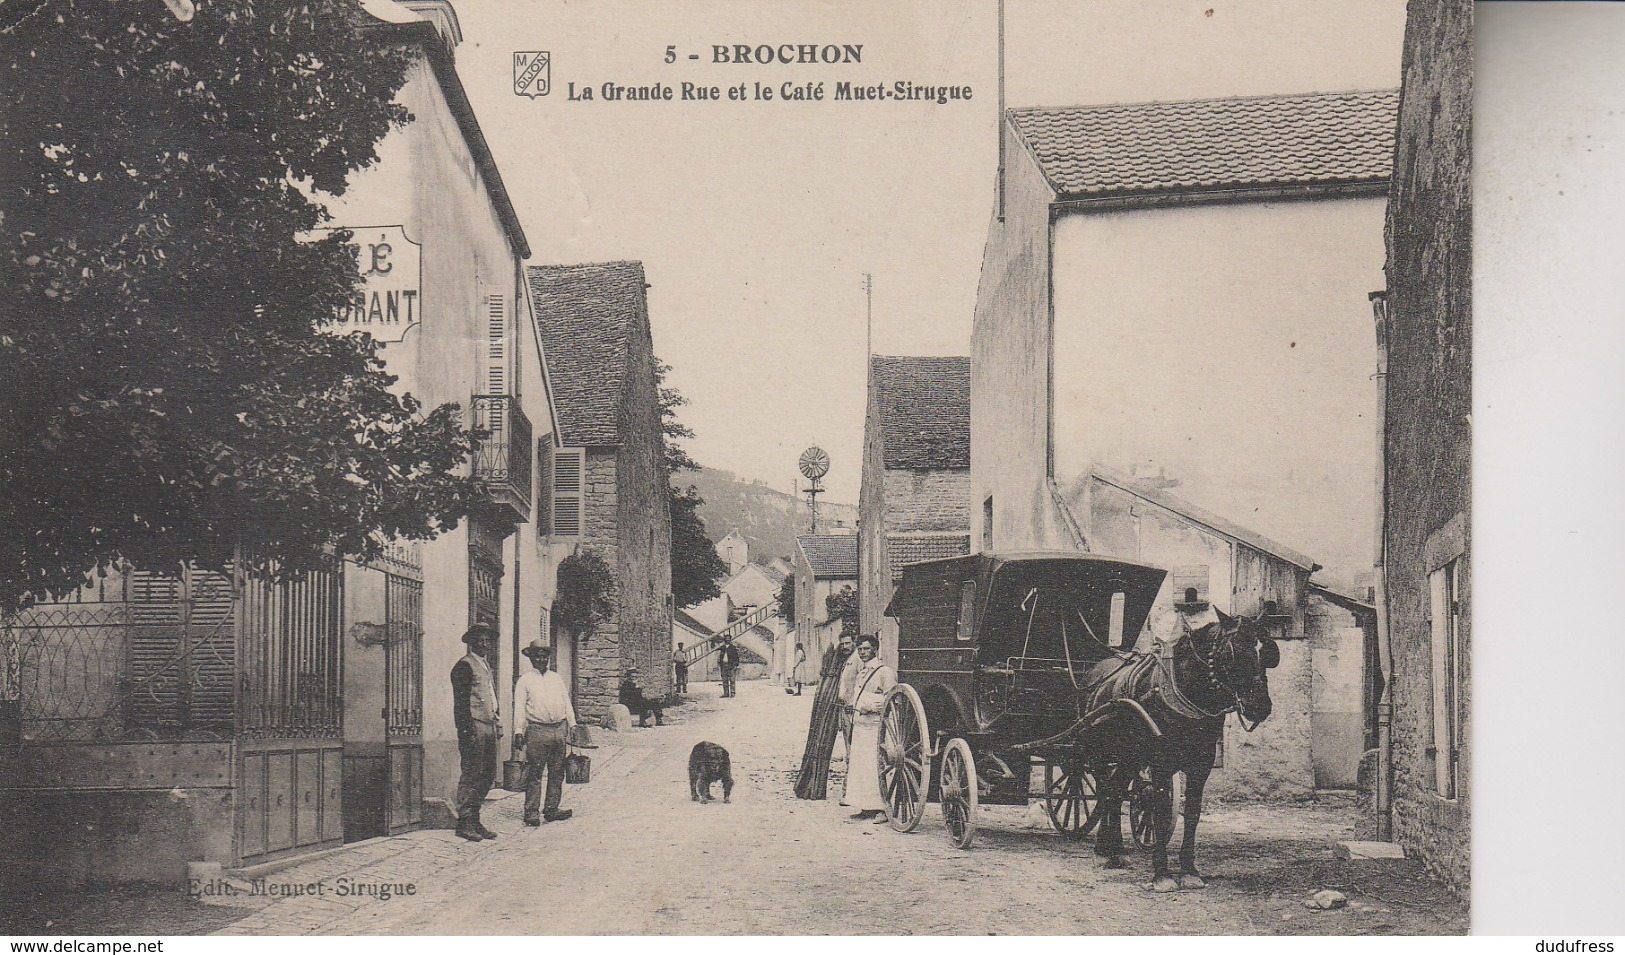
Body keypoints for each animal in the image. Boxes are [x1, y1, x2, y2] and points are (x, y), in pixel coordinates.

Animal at [1079, 607, 1280, 890]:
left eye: (1269, 653)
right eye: (1233, 652)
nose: (1260, 706)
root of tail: (1094, 675)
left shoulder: (1201, 764)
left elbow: (1193, 812)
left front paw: (1189, 870)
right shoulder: (1160, 762)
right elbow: (1160, 812)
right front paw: (1162, 874)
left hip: (1130, 758)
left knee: (1117, 791)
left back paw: (1116, 850)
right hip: (1101, 754)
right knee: (1107, 791)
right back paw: (1102, 851)